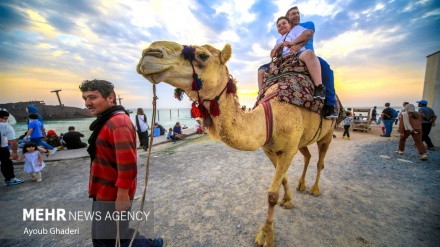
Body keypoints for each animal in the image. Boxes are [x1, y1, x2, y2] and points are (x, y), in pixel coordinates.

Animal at [136, 41, 338, 246]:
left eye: (202, 55)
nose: (150, 53)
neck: (270, 117)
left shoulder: (288, 150)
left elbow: (272, 195)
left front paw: (266, 236)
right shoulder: (269, 149)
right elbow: (282, 179)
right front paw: (288, 201)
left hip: (328, 133)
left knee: (320, 161)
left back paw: (314, 189)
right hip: (304, 140)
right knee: (308, 156)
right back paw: (301, 186)